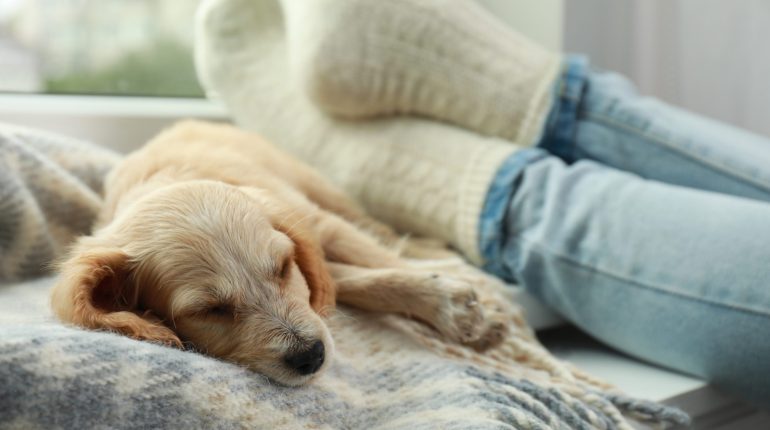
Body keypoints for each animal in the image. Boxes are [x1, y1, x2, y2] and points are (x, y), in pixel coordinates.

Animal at [51, 121, 500, 386]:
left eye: (283, 268)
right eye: (209, 310)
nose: (312, 356)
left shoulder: (317, 224)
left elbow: (378, 262)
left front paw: (461, 303)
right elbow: (345, 281)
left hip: (322, 190)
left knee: (380, 231)